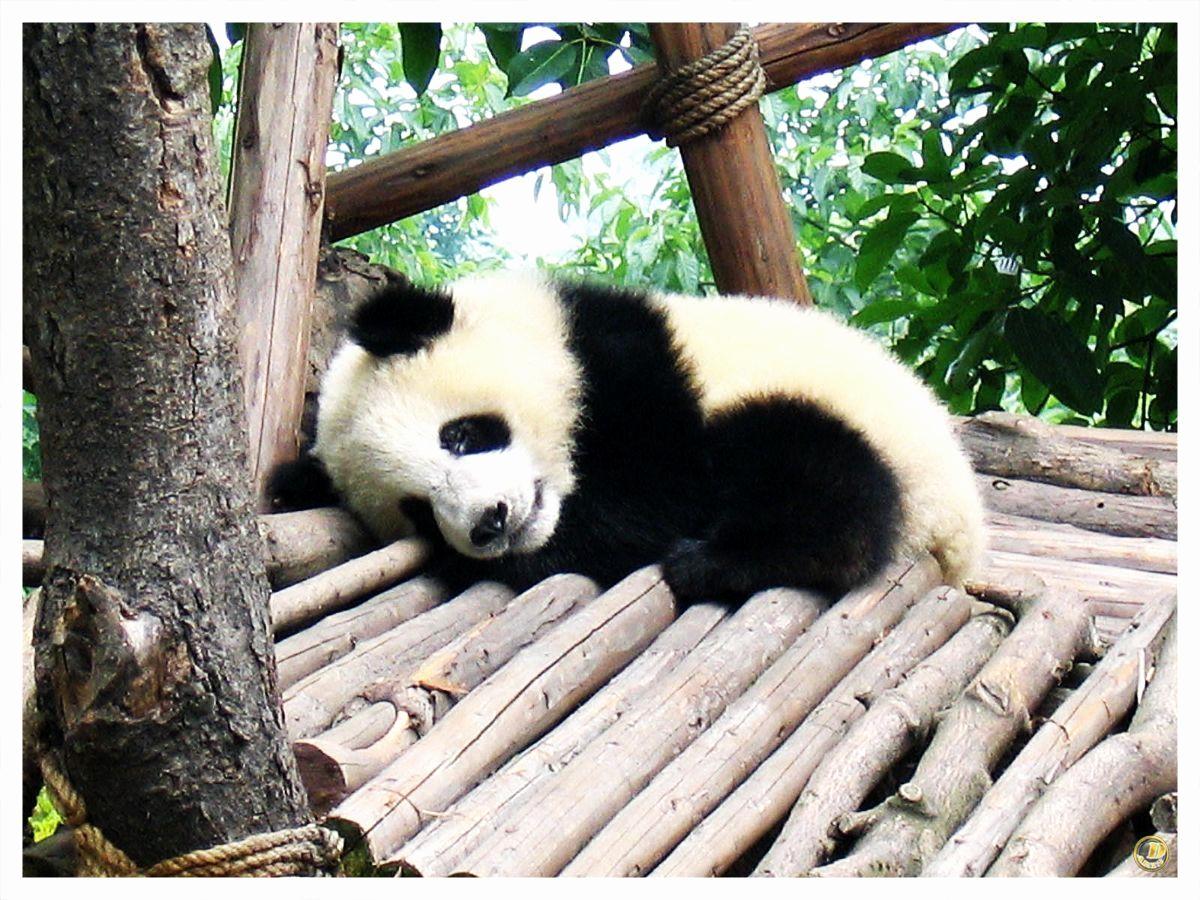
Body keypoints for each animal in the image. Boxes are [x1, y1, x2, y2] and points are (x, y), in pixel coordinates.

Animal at [271, 272, 984, 605]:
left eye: (465, 435)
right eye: (416, 510)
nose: (489, 523)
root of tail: (959, 537)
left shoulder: (635, 371)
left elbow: (657, 500)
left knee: (825, 485)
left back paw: (717, 559)